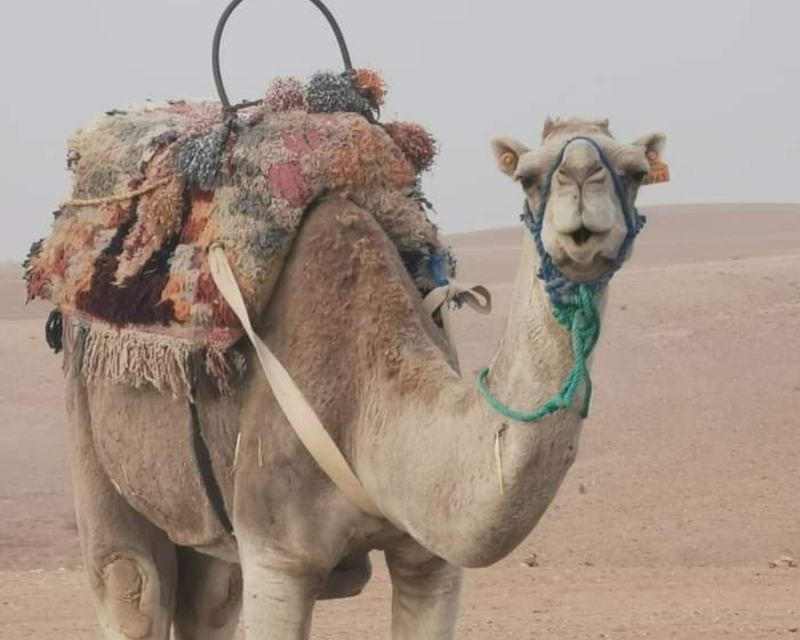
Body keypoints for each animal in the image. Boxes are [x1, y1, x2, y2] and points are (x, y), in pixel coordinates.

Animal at [62, 116, 664, 640]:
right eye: (529, 176)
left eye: (636, 171)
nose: (581, 178)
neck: (366, 405)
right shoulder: (277, 555)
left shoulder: (430, 559)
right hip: (91, 430)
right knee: (131, 582)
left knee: (209, 602)